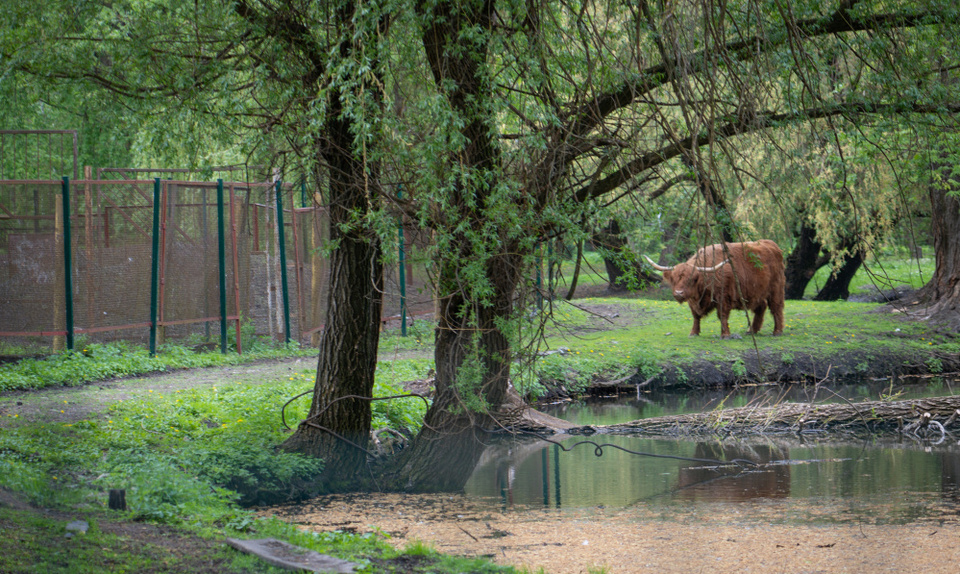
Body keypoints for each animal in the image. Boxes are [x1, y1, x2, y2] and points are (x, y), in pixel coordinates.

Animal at [644, 240, 785, 339]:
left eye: (692, 279)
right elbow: (695, 316)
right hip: (757, 293)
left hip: (776, 288)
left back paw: (777, 331)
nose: (679, 293)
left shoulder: (724, 297)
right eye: (674, 279)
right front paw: (693, 333)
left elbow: (722, 315)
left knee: (776, 308)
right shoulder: (692, 301)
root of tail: (771, 244)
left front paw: (725, 334)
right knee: (761, 307)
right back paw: (752, 330)